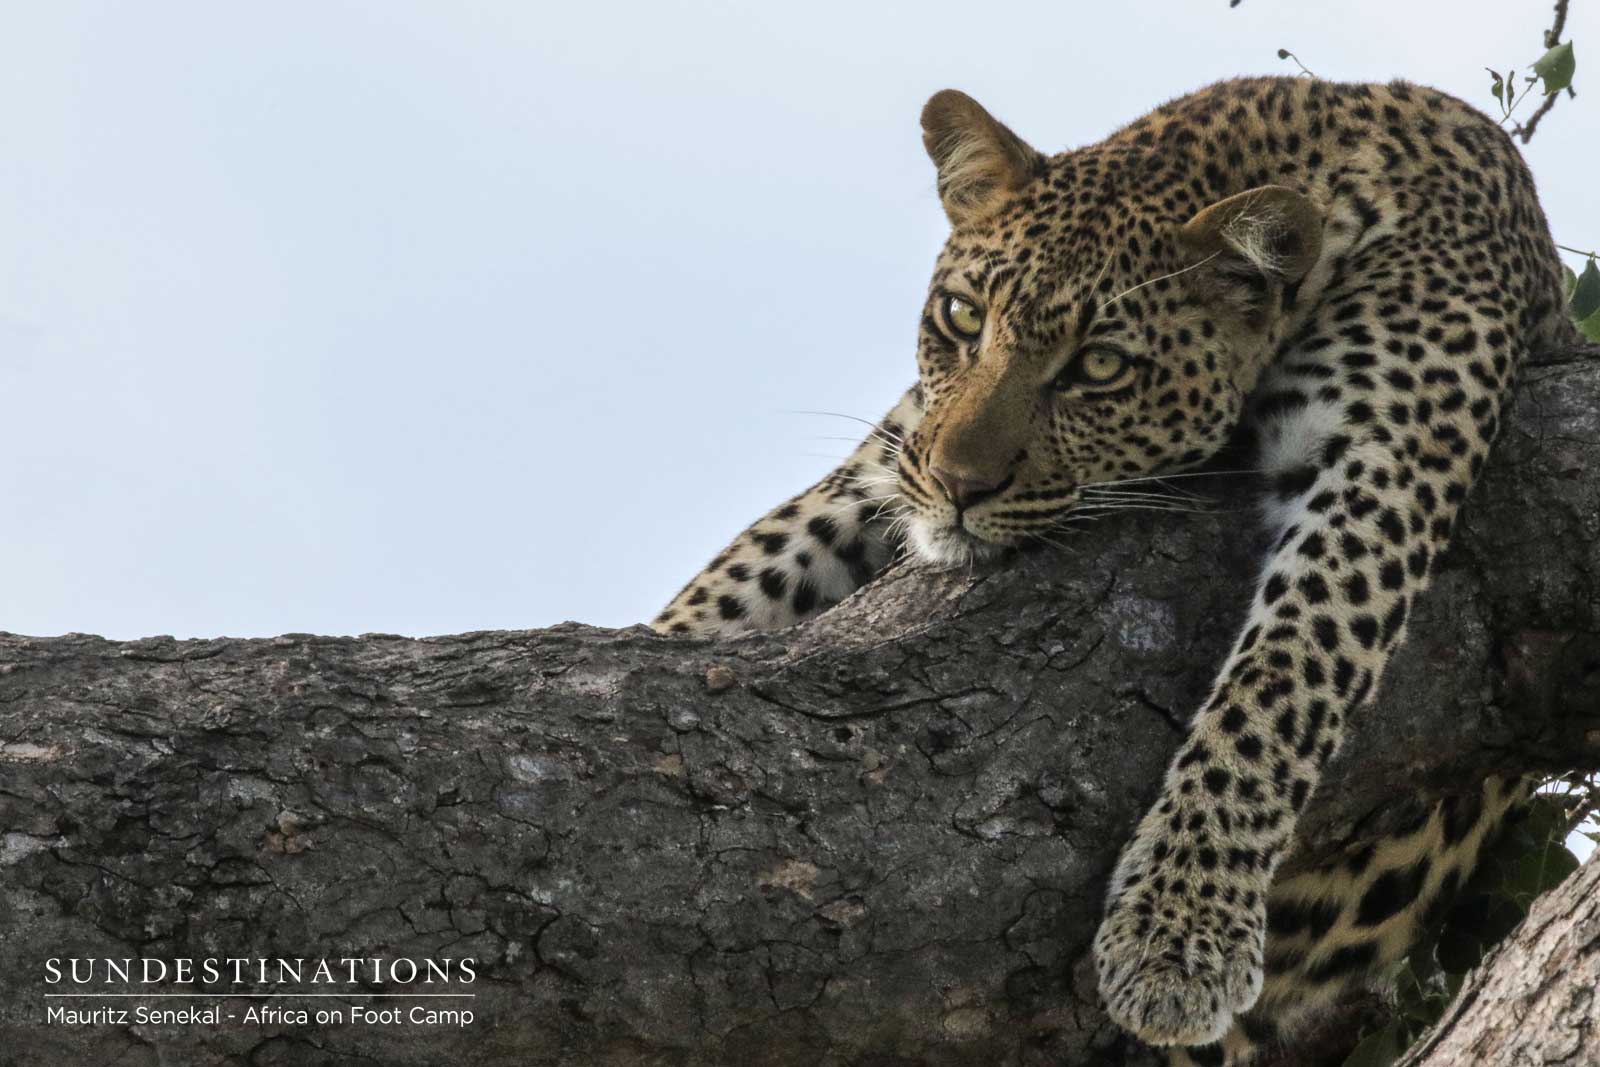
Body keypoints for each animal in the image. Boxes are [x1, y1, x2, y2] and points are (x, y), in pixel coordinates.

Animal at [651, 76, 1577, 1064]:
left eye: (1099, 366)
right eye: (963, 318)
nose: (958, 484)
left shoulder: (1384, 460)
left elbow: (1280, 680)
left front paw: (1178, 935)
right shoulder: (891, 450)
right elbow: (742, 579)